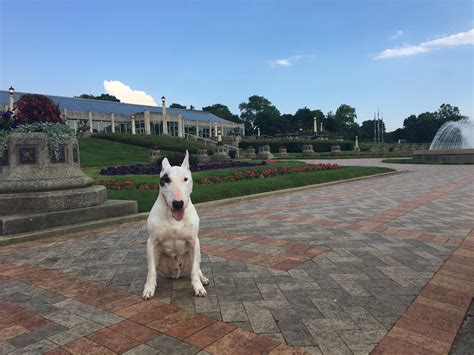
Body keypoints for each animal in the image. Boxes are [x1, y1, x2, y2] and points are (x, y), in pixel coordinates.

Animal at [141, 152, 207, 298]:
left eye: (185, 179)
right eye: (166, 180)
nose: (178, 203)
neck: (174, 218)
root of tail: (176, 274)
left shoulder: (194, 241)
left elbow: (195, 269)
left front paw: (198, 287)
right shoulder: (152, 242)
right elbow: (150, 270)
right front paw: (149, 288)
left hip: (196, 251)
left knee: (197, 266)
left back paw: (203, 278)